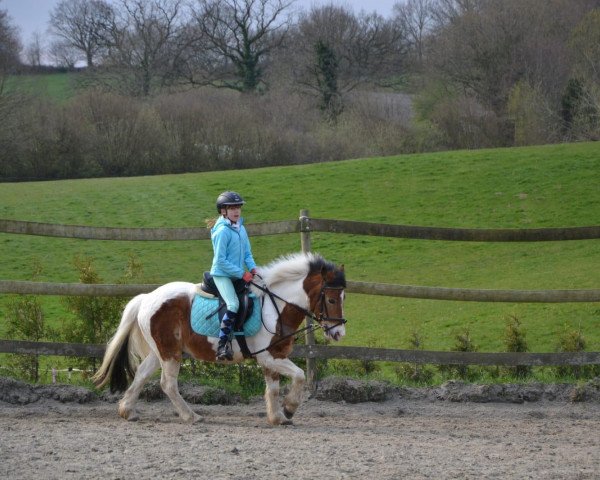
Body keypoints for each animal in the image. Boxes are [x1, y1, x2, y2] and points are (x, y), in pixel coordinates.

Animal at [93, 251, 346, 424]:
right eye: (332, 299)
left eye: (343, 297)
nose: (338, 333)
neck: (277, 306)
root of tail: (147, 297)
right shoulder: (268, 357)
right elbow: (300, 375)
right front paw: (290, 408)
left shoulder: (274, 356)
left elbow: (273, 388)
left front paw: (277, 417)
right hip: (170, 353)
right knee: (168, 383)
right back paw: (191, 416)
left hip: (161, 351)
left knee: (142, 375)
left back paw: (127, 411)